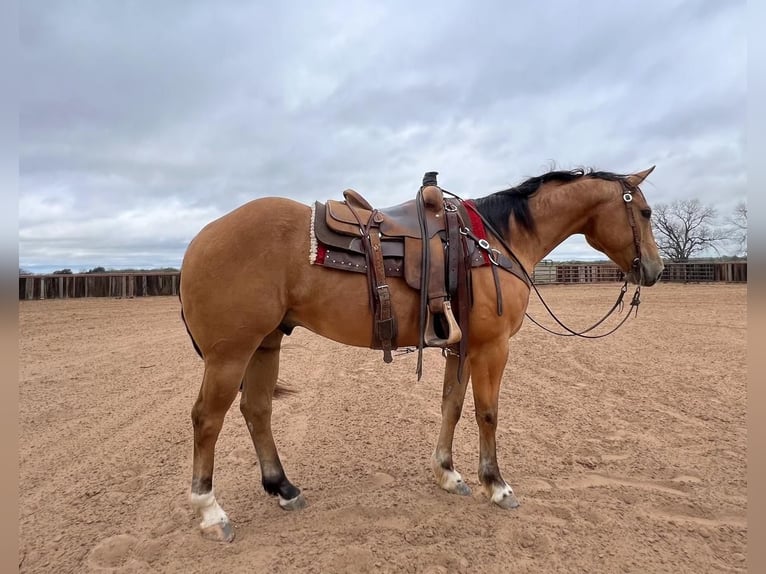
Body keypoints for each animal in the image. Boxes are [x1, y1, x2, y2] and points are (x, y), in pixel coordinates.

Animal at [179, 166, 664, 541]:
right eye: (645, 212)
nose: (656, 270)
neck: (494, 242)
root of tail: (201, 238)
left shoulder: (461, 347)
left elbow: (452, 406)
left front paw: (448, 473)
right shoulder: (493, 347)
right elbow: (487, 413)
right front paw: (497, 485)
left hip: (266, 343)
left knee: (257, 410)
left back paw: (284, 489)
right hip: (231, 354)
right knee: (207, 419)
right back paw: (211, 512)